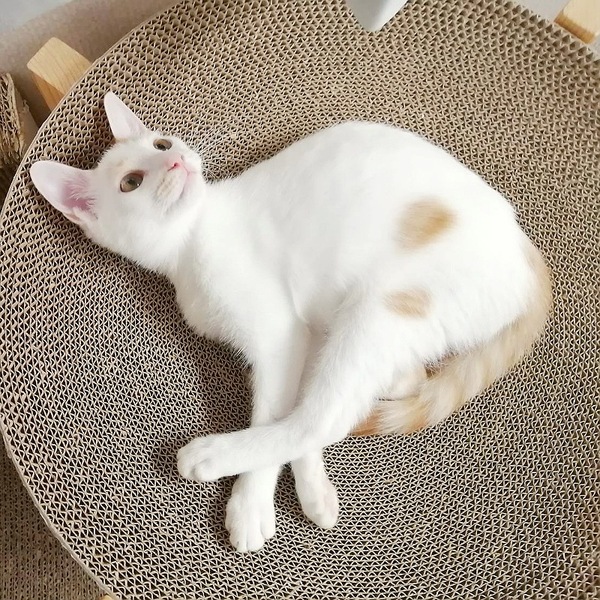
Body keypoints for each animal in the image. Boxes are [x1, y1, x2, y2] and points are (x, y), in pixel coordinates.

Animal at [30, 92, 552, 553]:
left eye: (160, 145)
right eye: (131, 183)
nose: (176, 161)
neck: (190, 243)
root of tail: (528, 256)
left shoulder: (280, 335)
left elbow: (279, 409)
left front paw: (251, 504)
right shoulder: (308, 331)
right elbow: (298, 395)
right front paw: (313, 487)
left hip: (380, 306)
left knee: (322, 418)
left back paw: (212, 455)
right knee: (388, 386)